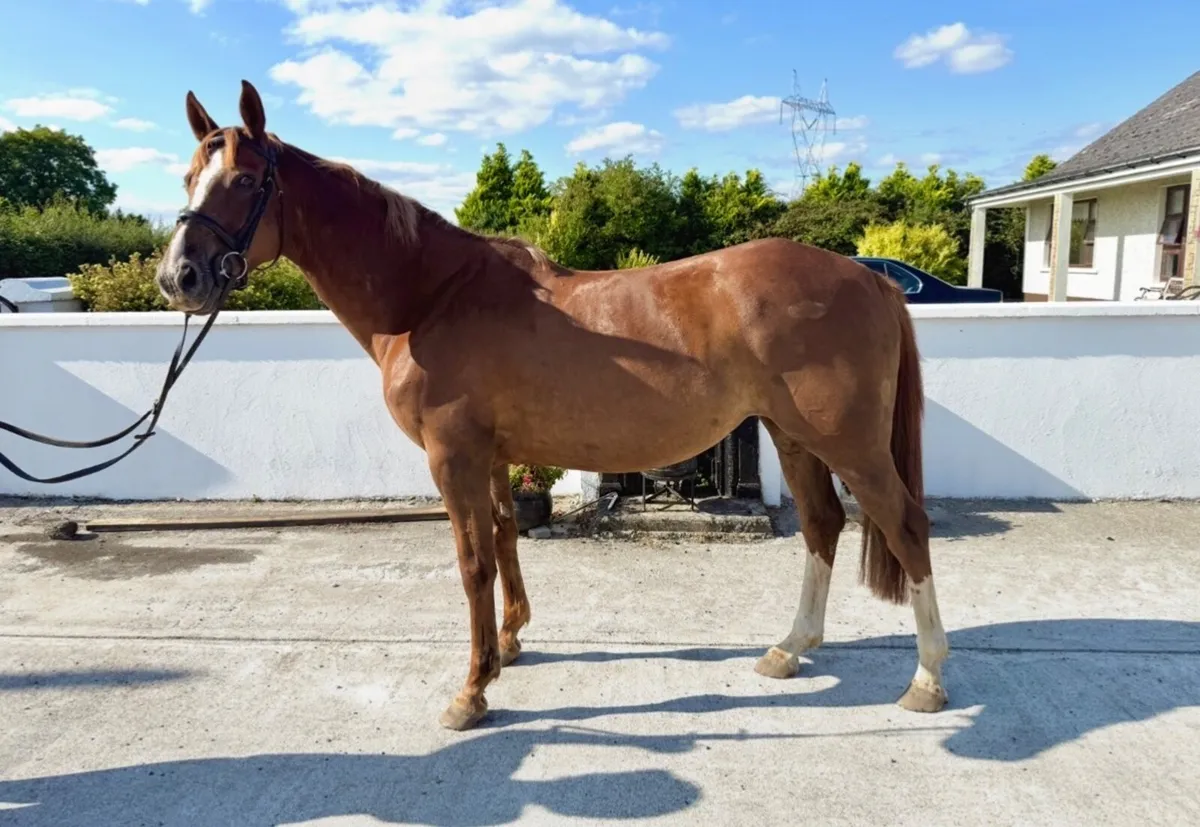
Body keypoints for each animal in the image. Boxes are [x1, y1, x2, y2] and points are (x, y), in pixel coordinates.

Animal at [156, 80, 950, 732]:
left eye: (247, 180)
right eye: (190, 177)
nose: (179, 276)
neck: (430, 295)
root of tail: (868, 277)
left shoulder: (454, 456)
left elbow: (472, 559)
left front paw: (471, 690)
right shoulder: (493, 455)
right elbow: (507, 537)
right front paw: (509, 643)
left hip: (849, 443)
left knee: (905, 524)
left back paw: (927, 679)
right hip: (791, 434)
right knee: (821, 525)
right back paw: (789, 649)